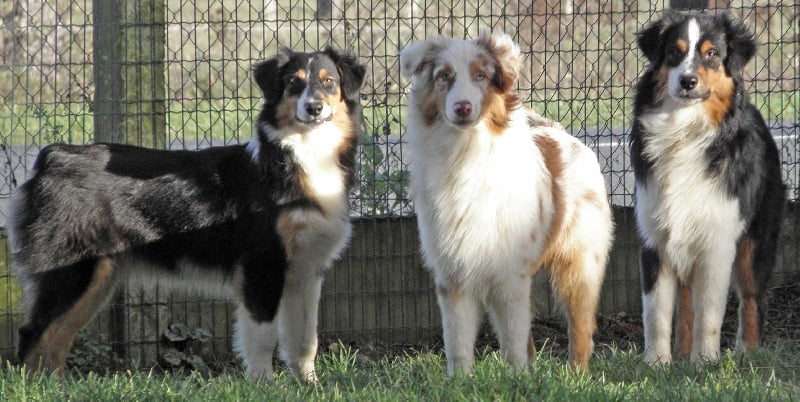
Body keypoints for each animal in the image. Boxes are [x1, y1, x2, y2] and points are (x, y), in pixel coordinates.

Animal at [8, 47, 366, 380]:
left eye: (329, 82)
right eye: (293, 83)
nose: (314, 107)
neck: (303, 152)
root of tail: (54, 156)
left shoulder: (306, 272)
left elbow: (305, 341)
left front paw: (308, 384)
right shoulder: (262, 266)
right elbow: (262, 339)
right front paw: (264, 385)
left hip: (97, 279)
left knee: (56, 339)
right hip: (69, 273)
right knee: (32, 334)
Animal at [636, 11, 784, 364]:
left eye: (712, 54)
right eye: (673, 52)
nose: (687, 81)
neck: (685, 130)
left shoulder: (718, 242)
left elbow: (710, 313)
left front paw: (706, 362)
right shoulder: (654, 240)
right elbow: (656, 313)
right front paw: (656, 364)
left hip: (756, 242)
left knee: (753, 300)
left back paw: (747, 354)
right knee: (686, 301)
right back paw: (680, 354)